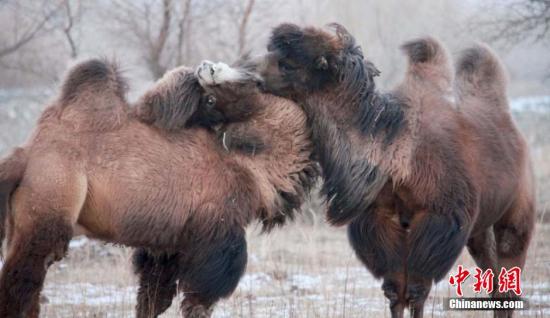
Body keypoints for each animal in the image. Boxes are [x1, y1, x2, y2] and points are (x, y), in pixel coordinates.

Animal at [1, 59, 320, 316]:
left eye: (252, 81)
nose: (207, 66)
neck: (254, 169)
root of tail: (25, 154)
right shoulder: (217, 232)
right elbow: (199, 299)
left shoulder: (170, 244)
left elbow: (152, 298)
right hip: (50, 202)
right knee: (22, 281)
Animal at [248, 24, 536, 318]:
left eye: (288, 63)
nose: (252, 76)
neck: (401, 160)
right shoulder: (380, 219)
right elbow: (395, 290)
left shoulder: (437, 220)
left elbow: (416, 291)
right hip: (480, 230)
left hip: (516, 217)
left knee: (509, 264)